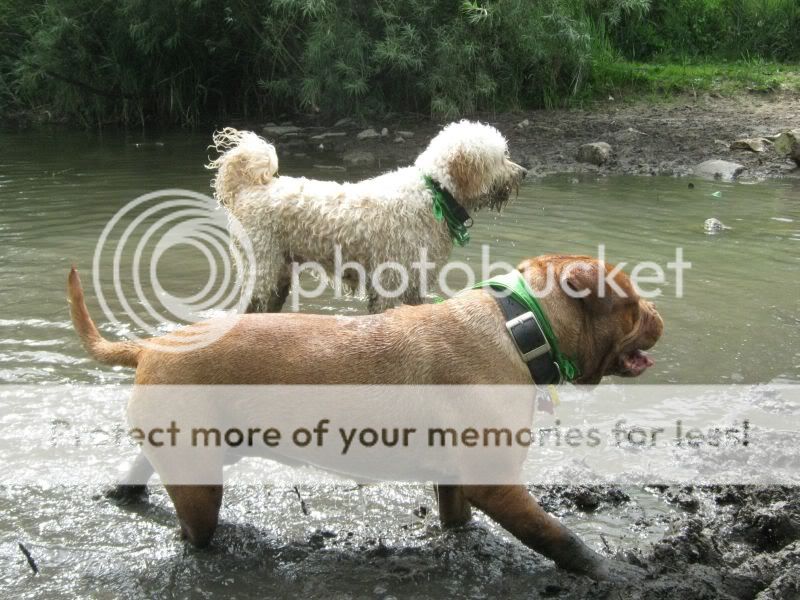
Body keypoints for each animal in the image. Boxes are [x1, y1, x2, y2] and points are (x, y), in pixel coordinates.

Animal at [67, 255, 664, 584]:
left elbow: (457, 519)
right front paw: (610, 571)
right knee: (194, 527)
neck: (522, 326)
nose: (659, 312)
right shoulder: (496, 483)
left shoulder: (459, 480)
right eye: (634, 304)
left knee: (143, 464)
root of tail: (150, 347)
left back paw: (123, 491)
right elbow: (559, 536)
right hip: (200, 482)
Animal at [209, 119, 528, 312]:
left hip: (279, 276)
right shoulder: (391, 281)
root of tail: (248, 187)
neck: (435, 193)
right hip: (263, 270)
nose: (523, 172)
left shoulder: (414, 284)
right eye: (500, 158)